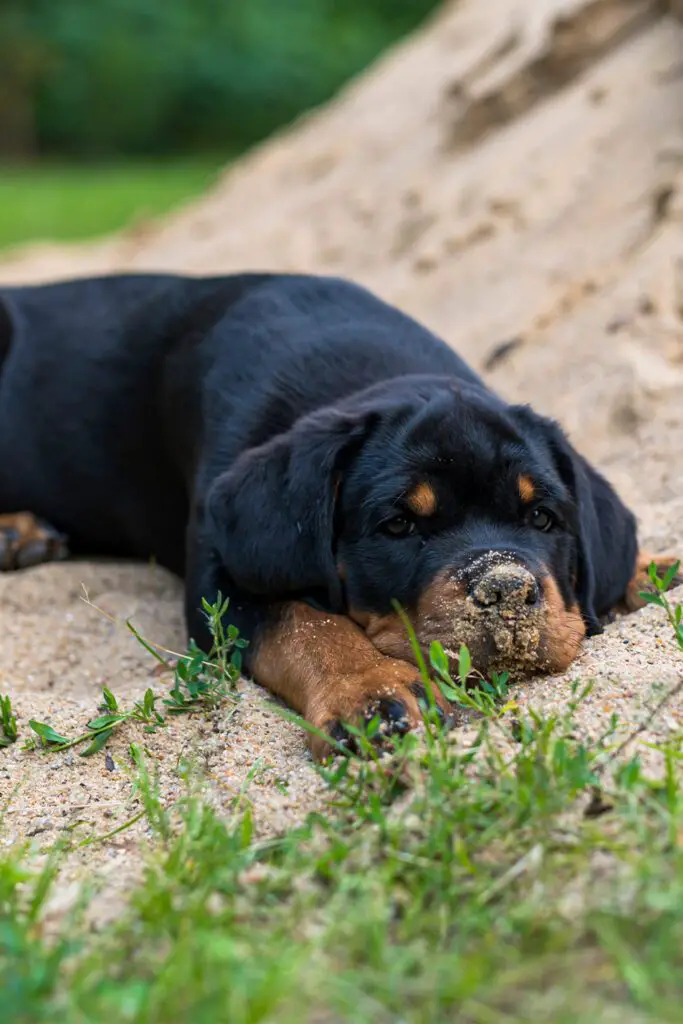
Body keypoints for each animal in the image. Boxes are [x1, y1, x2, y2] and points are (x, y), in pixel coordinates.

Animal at [0, 276, 675, 757]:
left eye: (542, 519)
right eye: (399, 526)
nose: (505, 589)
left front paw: (655, 568)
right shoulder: (221, 581)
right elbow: (306, 623)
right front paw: (373, 691)